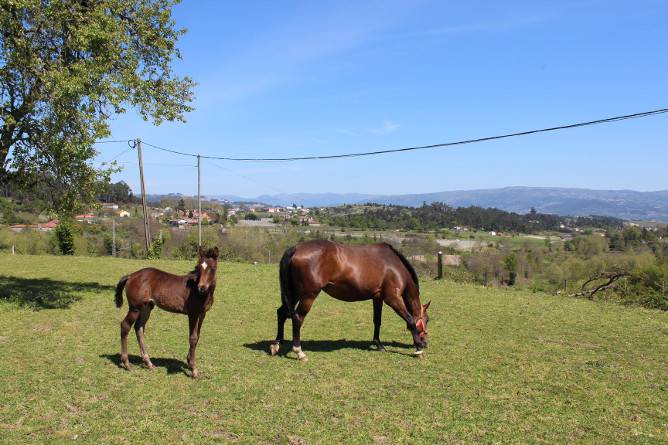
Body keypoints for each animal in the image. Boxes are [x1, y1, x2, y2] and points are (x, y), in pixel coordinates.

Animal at [114, 245, 219, 376]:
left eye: (213, 268)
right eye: (199, 268)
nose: (202, 288)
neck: (199, 292)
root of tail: (131, 276)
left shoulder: (202, 314)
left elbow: (197, 336)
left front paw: (189, 361)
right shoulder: (193, 314)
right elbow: (193, 337)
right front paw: (194, 369)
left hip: (147, 307)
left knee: (139, 327)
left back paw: (149, 363)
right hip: (135, 308)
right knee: (125, 325)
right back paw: (127, 364)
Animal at [268, 239, 430, 360]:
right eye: (427, 319)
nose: (425, 343)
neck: (394, 266)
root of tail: (296, 248)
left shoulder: (377, 297)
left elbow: (377, 321)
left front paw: (378, 345)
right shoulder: (392, 299)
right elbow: (410, 319)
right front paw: (418, 349)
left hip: (295, 294)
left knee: (281, 313)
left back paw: (277, 344)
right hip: (308, 296)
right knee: (297, 318)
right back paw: (299, 352)